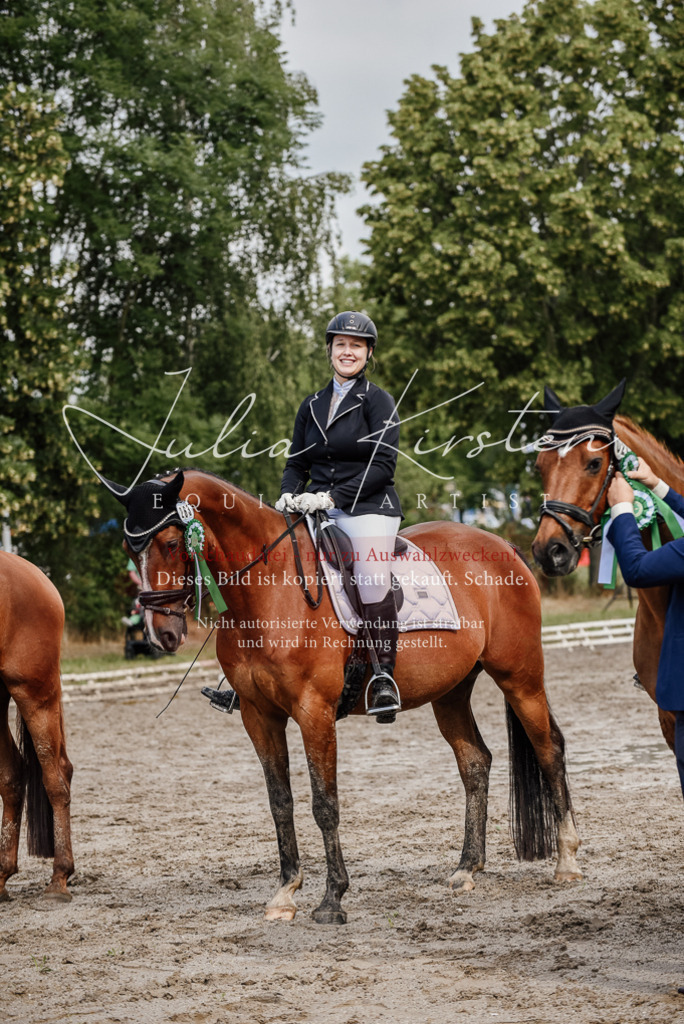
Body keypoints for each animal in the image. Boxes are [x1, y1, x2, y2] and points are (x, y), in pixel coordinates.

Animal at [110, 468, 580, 924]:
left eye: (172, 543)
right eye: (130, 549)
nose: (161, 634)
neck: (269, 589)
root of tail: (503, 545)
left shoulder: (313, 711)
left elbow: (324, 803)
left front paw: (332, 899)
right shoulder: (259, 716)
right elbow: (280, 802)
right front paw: (285, 893)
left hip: (520, 678)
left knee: (549, 750)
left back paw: (567, 862)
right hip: (450, 692)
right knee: (475, 763)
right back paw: (467, 869)